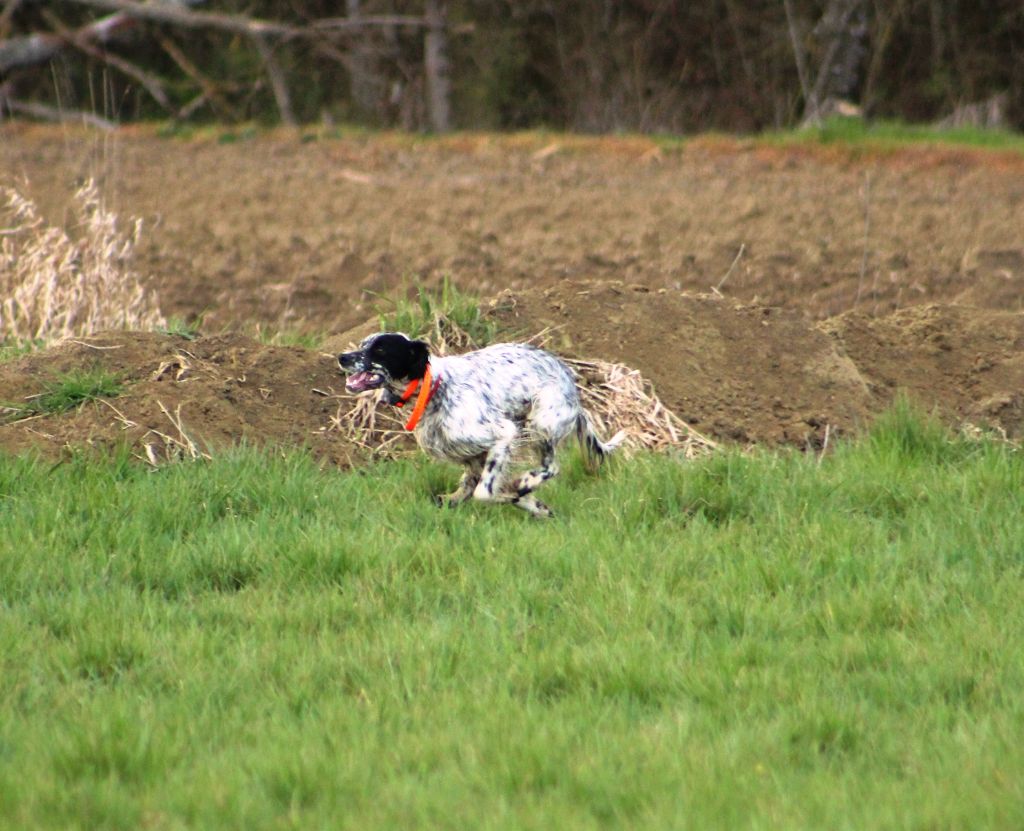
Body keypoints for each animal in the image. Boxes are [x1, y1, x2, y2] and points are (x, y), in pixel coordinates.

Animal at [339, 329, 622, 513]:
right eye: (363, 343)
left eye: (380, 349)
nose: (342, 357)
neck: (436, 389)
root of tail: (572, 384)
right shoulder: (472, 457)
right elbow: (467, 489)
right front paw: (536, 505)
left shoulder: (503, 434)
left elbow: (484, 492)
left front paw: (517, 492)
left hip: (542, 423)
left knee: (551, 467)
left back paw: (526, 482)